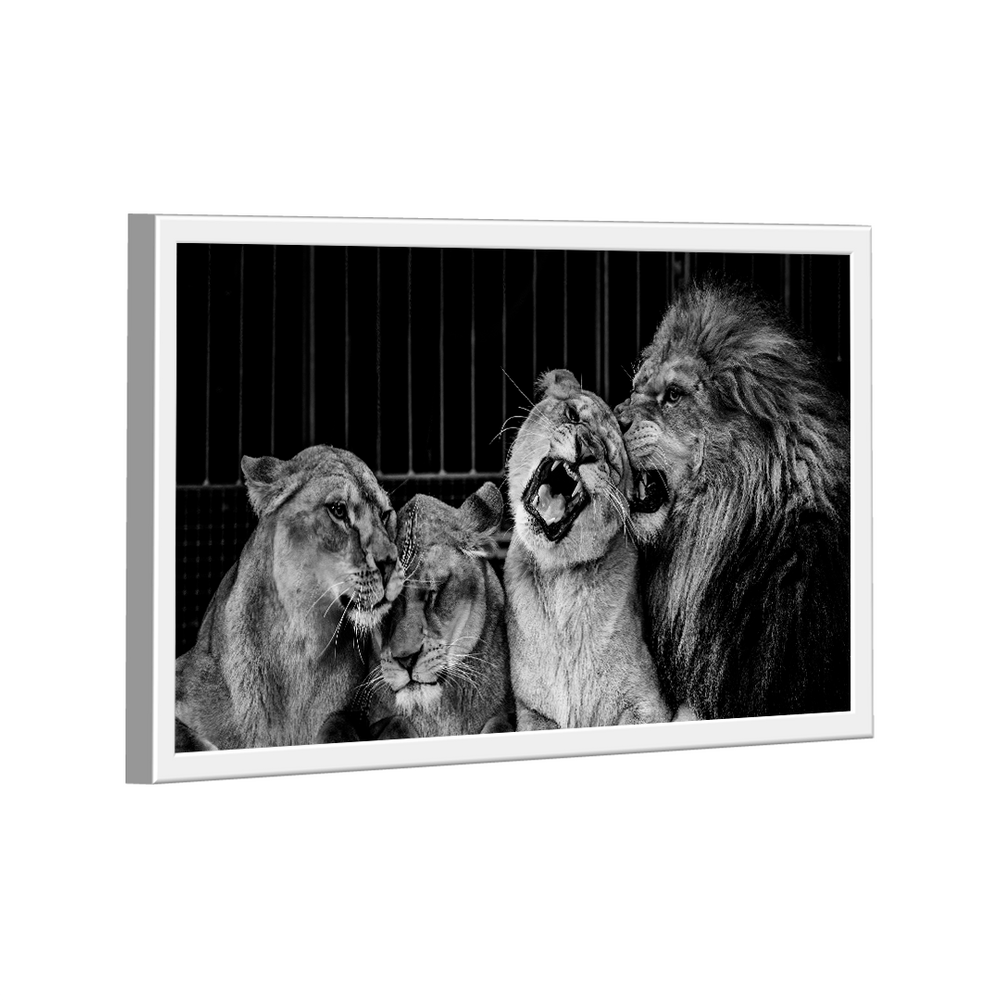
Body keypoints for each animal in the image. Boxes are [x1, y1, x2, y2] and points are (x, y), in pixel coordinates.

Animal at [175, 445, 400, 749]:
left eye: (386, 514)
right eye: (338, 510)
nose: (390, 562)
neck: (301, 643)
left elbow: (340, 725)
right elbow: (189, 739)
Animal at [504, 369, 671, 730]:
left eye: (609, 459)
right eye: (572, 416)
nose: (586, 449)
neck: (561, 576)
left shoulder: (648, 704)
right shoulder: (531, 710)